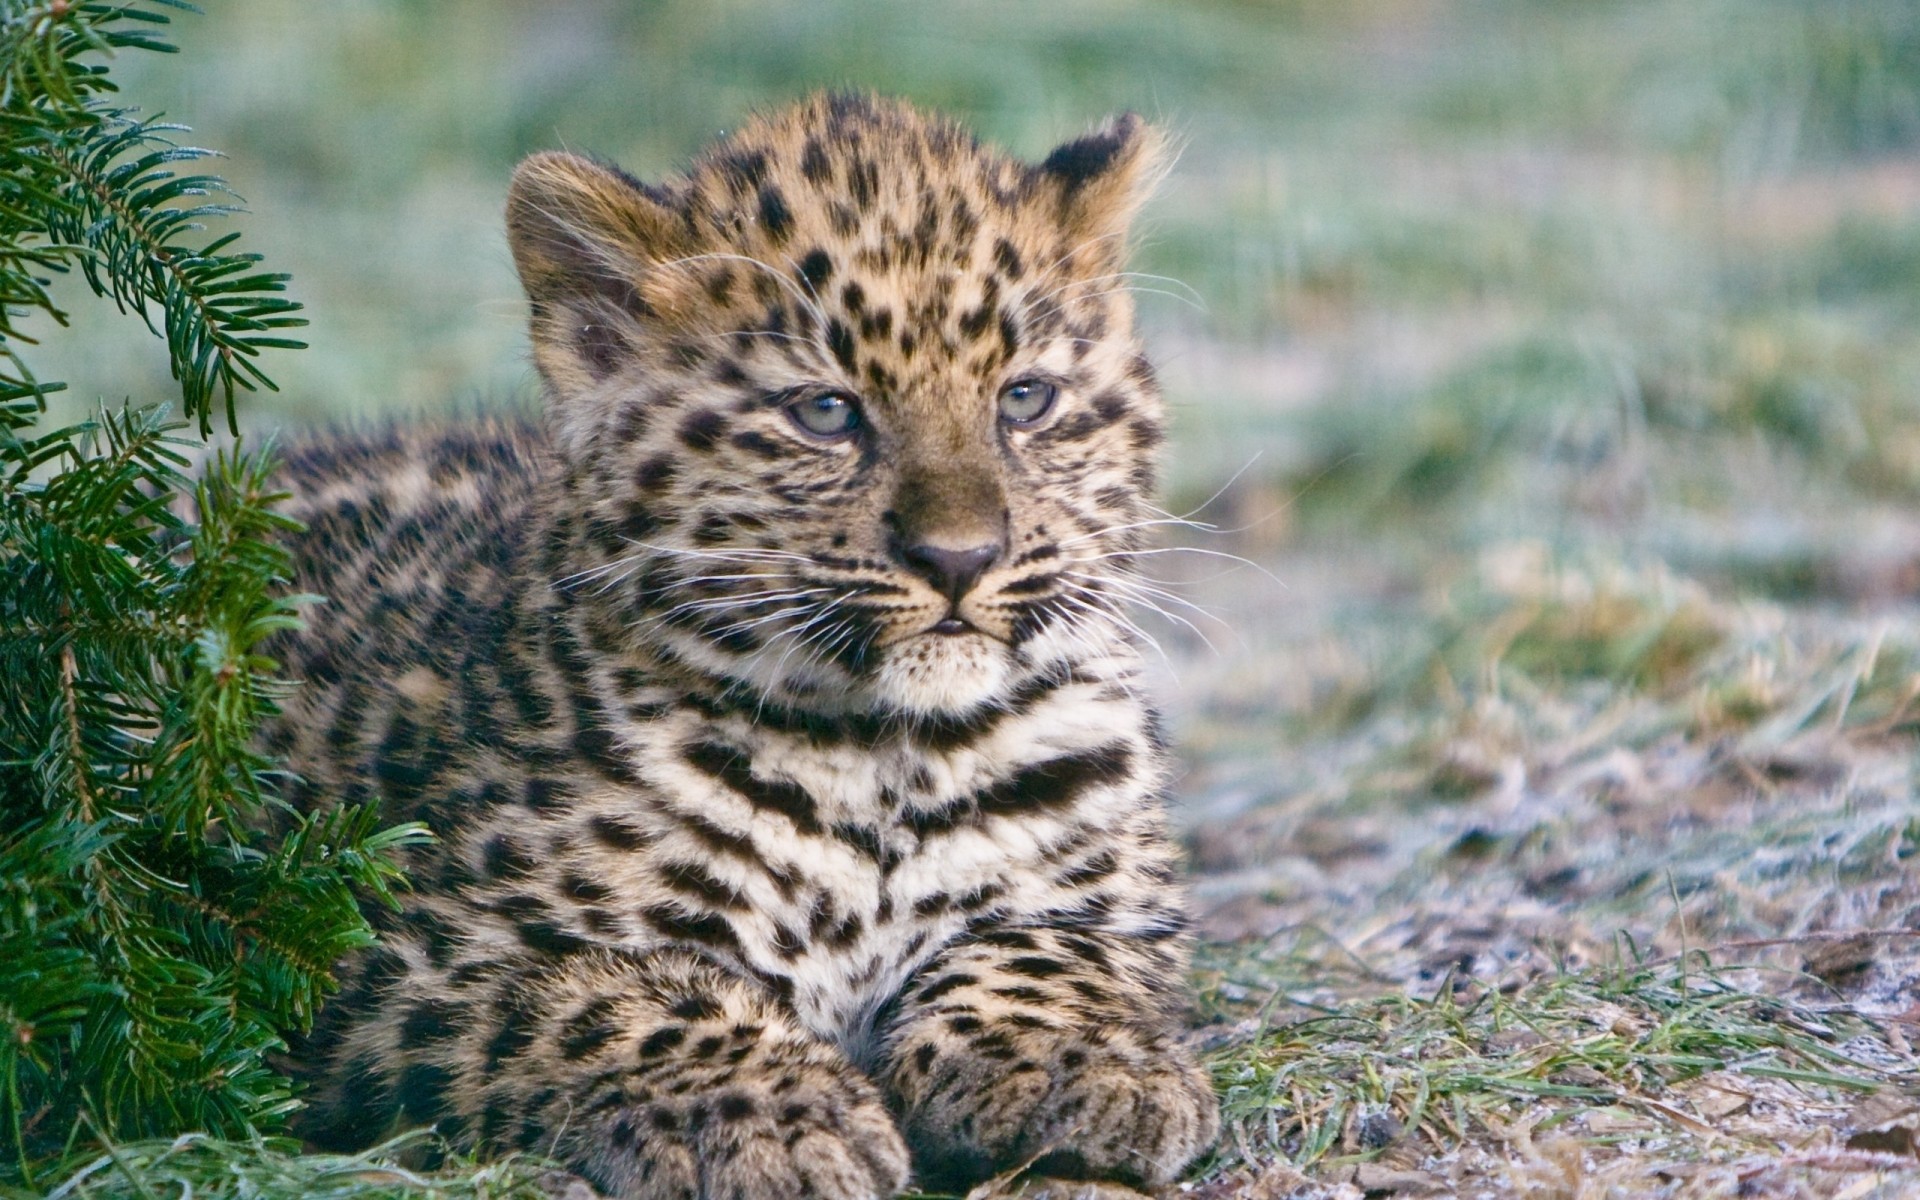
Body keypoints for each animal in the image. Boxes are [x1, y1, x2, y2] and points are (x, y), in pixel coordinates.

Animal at [268, 92, 1219, 1199]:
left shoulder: (1112, 906)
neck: (887, 761)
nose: (960, 557)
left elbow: (1044, 951)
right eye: (827, 413)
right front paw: (772, 1115)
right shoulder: (391, 955)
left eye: (1024, 399)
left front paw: (1074, 1062)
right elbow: (615, 994)